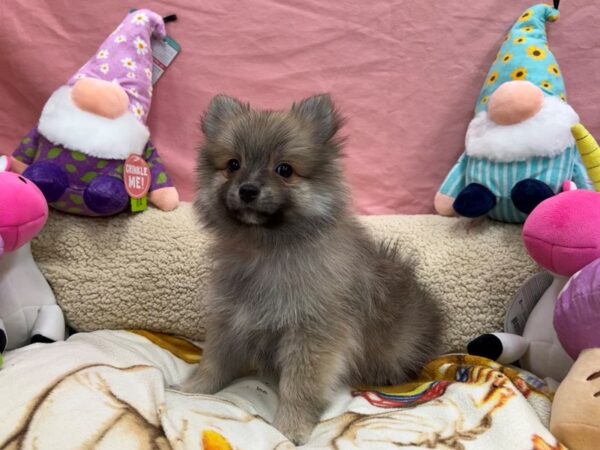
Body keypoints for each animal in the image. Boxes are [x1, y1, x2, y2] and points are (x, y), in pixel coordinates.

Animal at [185, 93, 442, 444]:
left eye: (284, 170)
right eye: (233, 165)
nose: (248, 189)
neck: (267, 250)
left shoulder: (312, 334)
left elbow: (300, 386)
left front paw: (291, 427)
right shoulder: (231, 316)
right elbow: (214, 360)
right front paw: (194, 388)